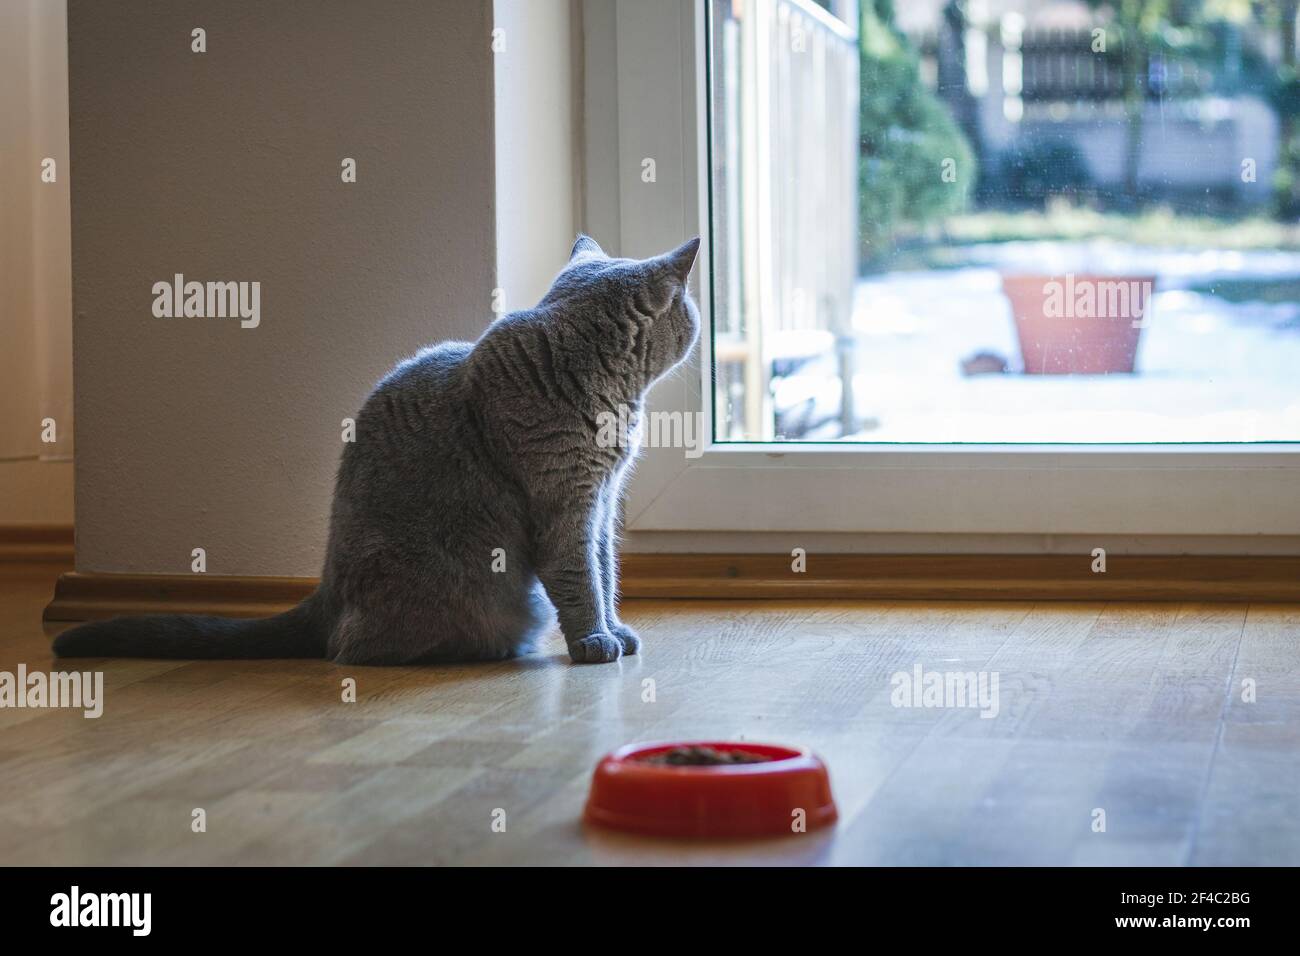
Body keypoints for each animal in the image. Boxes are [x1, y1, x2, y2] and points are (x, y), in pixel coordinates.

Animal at [54, 234, 696, 665]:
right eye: (690, 311)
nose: (696, 316)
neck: (611, 398)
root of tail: (325, 592)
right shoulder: (567, 504)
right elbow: (579, 576)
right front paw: (594, 641)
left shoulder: (602, 500)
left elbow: (605, 569)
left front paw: (616, 630)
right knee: (352, 649)